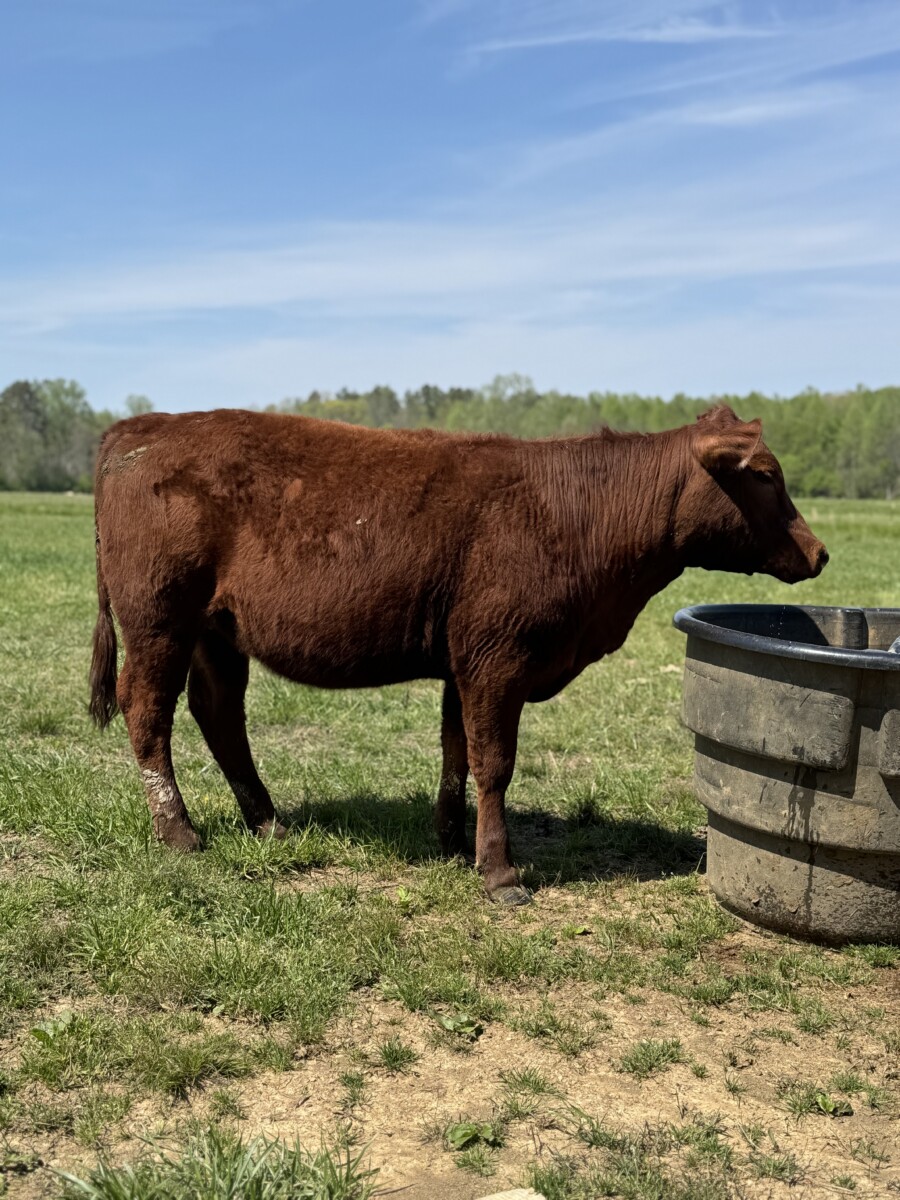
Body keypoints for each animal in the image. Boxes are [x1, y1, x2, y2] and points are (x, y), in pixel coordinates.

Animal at [89, 404, 827, 903]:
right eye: (766, 475)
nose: (820, 553)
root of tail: (140, 428)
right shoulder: (498, 659)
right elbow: (494, 763)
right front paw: (499, 870)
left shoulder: (463, 661)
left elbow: (456, 752)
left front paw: (449, 838)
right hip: (159, 620)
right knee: (147, 711)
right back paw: (179, 832)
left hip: (216, 632)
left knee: (219, 715)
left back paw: (267, 822)